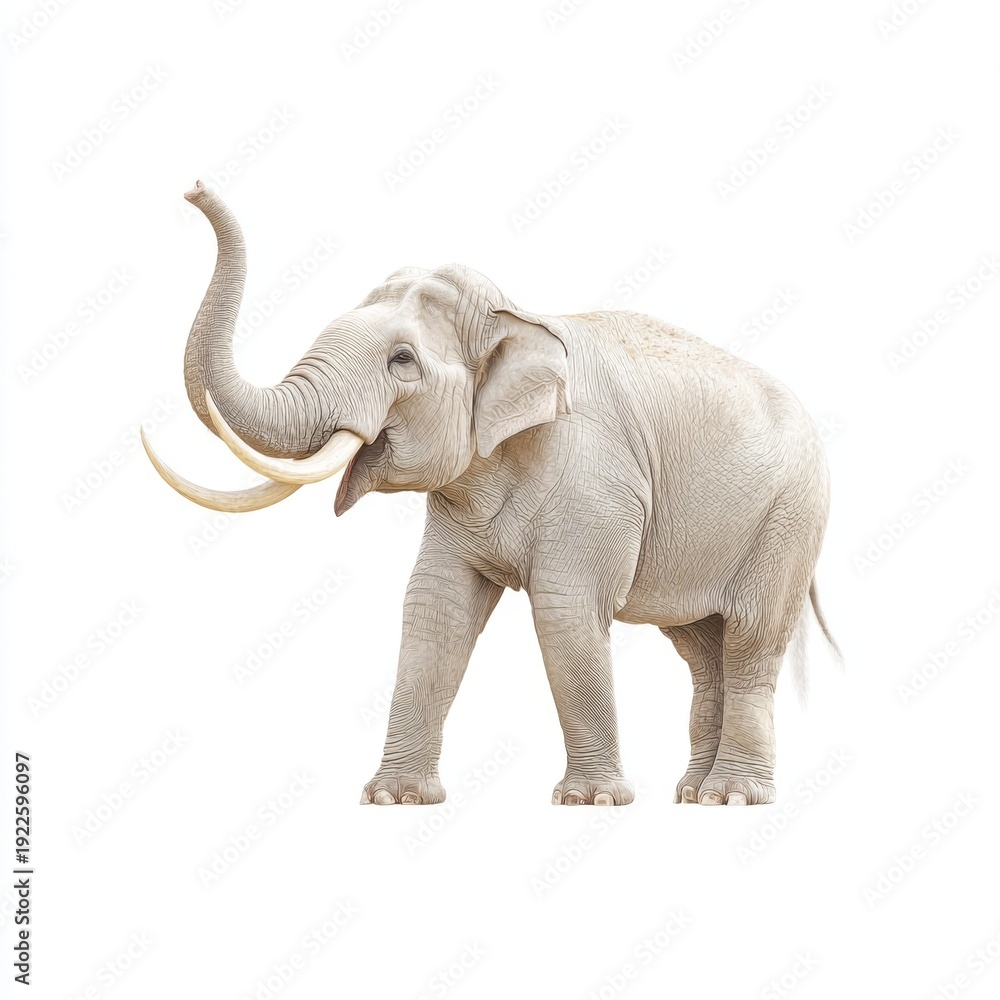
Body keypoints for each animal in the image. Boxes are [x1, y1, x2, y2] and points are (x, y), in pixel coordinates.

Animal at [144, 181, 840, 807]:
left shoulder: (595, 481)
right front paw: (395, 798)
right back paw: (692, 794)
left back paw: (732, 797)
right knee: (701, 648)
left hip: (789, 518)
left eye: (402, 360)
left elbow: (565, 611)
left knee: (750, 637)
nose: (194, 187)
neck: (521, 314)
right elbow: (435, 607)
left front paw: (590, 801)